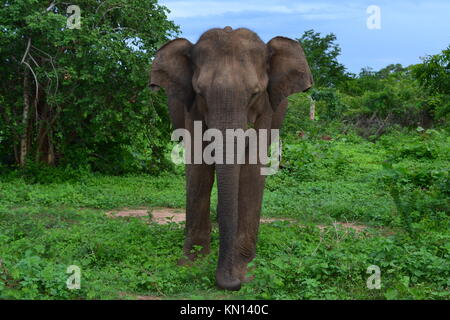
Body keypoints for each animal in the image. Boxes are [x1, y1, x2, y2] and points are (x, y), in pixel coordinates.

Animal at [149, 26, 312, 292]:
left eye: (254, 93)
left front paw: (246, 269)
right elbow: (198, 167)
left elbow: (252, 169)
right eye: (200, 92)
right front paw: (191, 264)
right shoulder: (192, 107)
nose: (233, 283)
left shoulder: (267, 107)